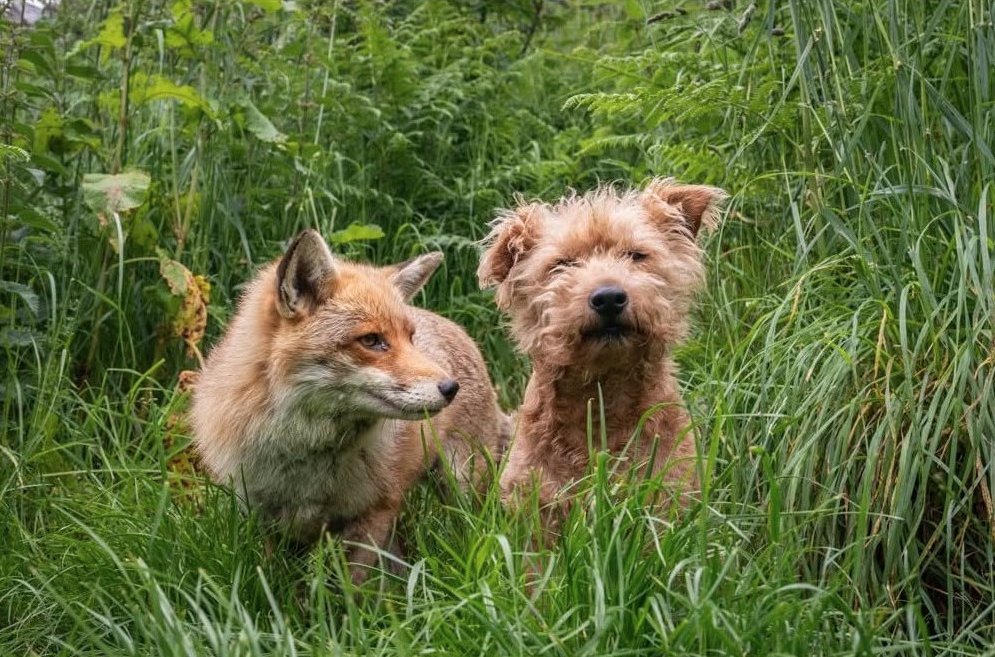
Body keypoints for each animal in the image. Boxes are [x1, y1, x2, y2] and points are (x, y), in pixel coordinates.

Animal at [190, 229, 507, 582]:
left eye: (410, 338)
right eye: (371, 340)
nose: (451, 388)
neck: (305, 452)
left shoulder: (373, 513)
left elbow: (351, 590)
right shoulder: (271, 521)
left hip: (461, 489)